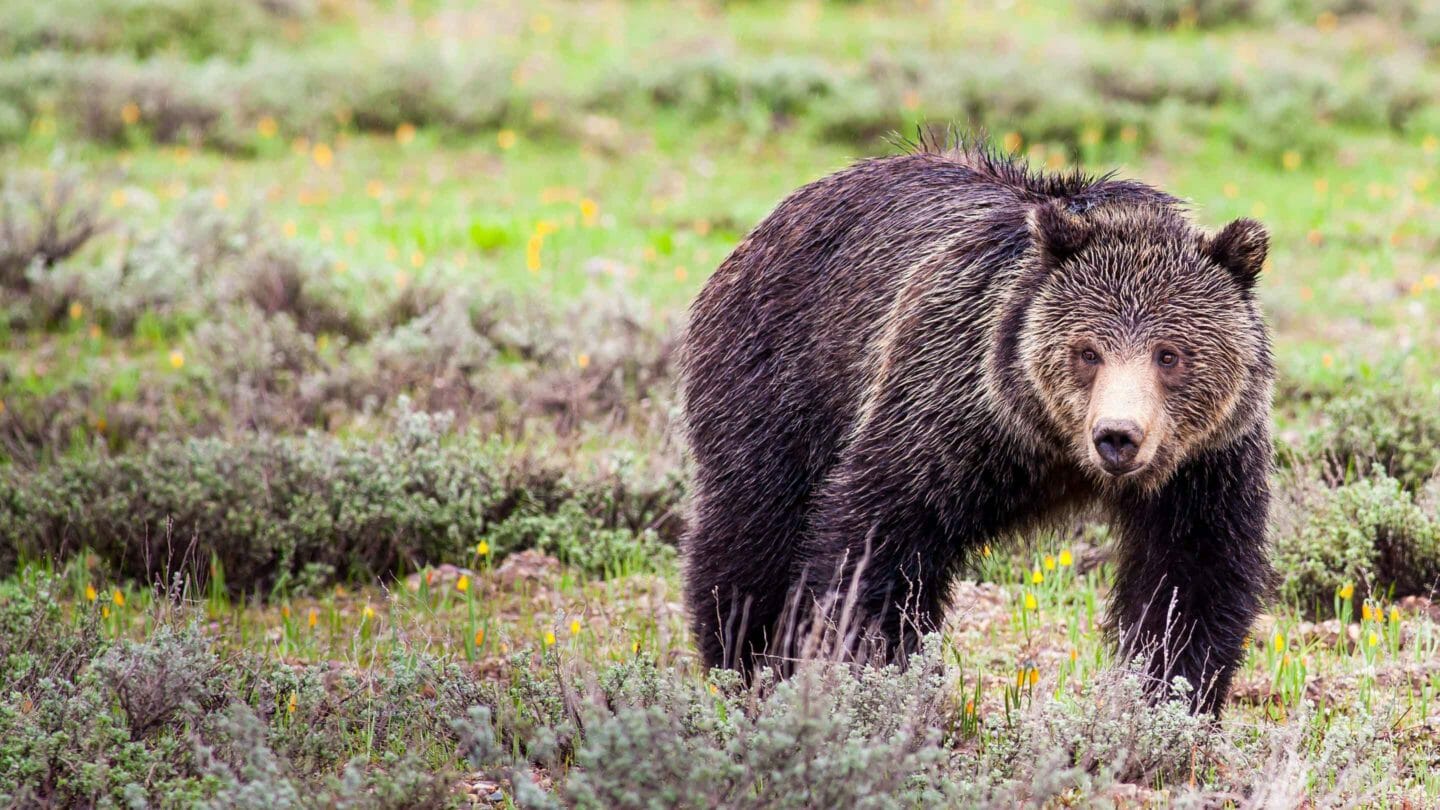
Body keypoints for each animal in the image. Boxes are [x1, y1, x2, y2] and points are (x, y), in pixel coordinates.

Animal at [679, 138, 1274, 714]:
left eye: (1169, 354)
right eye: (1087, 351)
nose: (1117, 436)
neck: (1055, 450)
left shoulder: (1205, 464)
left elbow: (1192, 578)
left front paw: (1171, 697)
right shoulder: (949, 403)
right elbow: (876, 540)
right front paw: (874, 673)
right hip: (782, 377)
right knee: (753, 528)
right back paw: (744, 660)